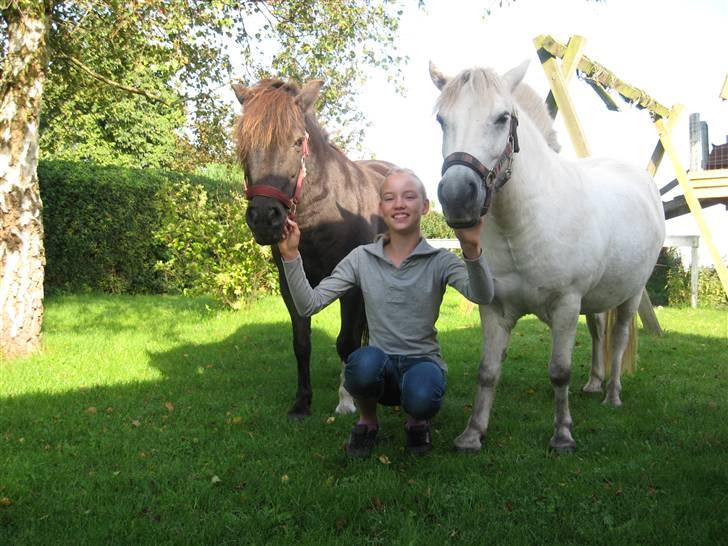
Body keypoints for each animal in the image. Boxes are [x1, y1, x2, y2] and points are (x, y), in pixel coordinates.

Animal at [232, 78, 393, 419]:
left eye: (297, 142)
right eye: (243, 144)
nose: (264, 217)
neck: (323, 211)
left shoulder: (352, 286)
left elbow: (346, 342)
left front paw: (347, 400)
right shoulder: (291, 285)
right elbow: (302, 342)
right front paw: (302, 402)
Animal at [429, 60, 665, 452]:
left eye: (502, 118)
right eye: (441, 120)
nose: (458, 197)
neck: (523, 225)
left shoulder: (566, 305)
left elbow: (559, 372)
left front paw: (563, 435)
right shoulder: (494, 309)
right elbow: (487, 371)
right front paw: (473, 433)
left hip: (631, 294)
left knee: (617, 339)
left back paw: (612, 394)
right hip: (596, 297)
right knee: (598, 330)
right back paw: (594, 384)